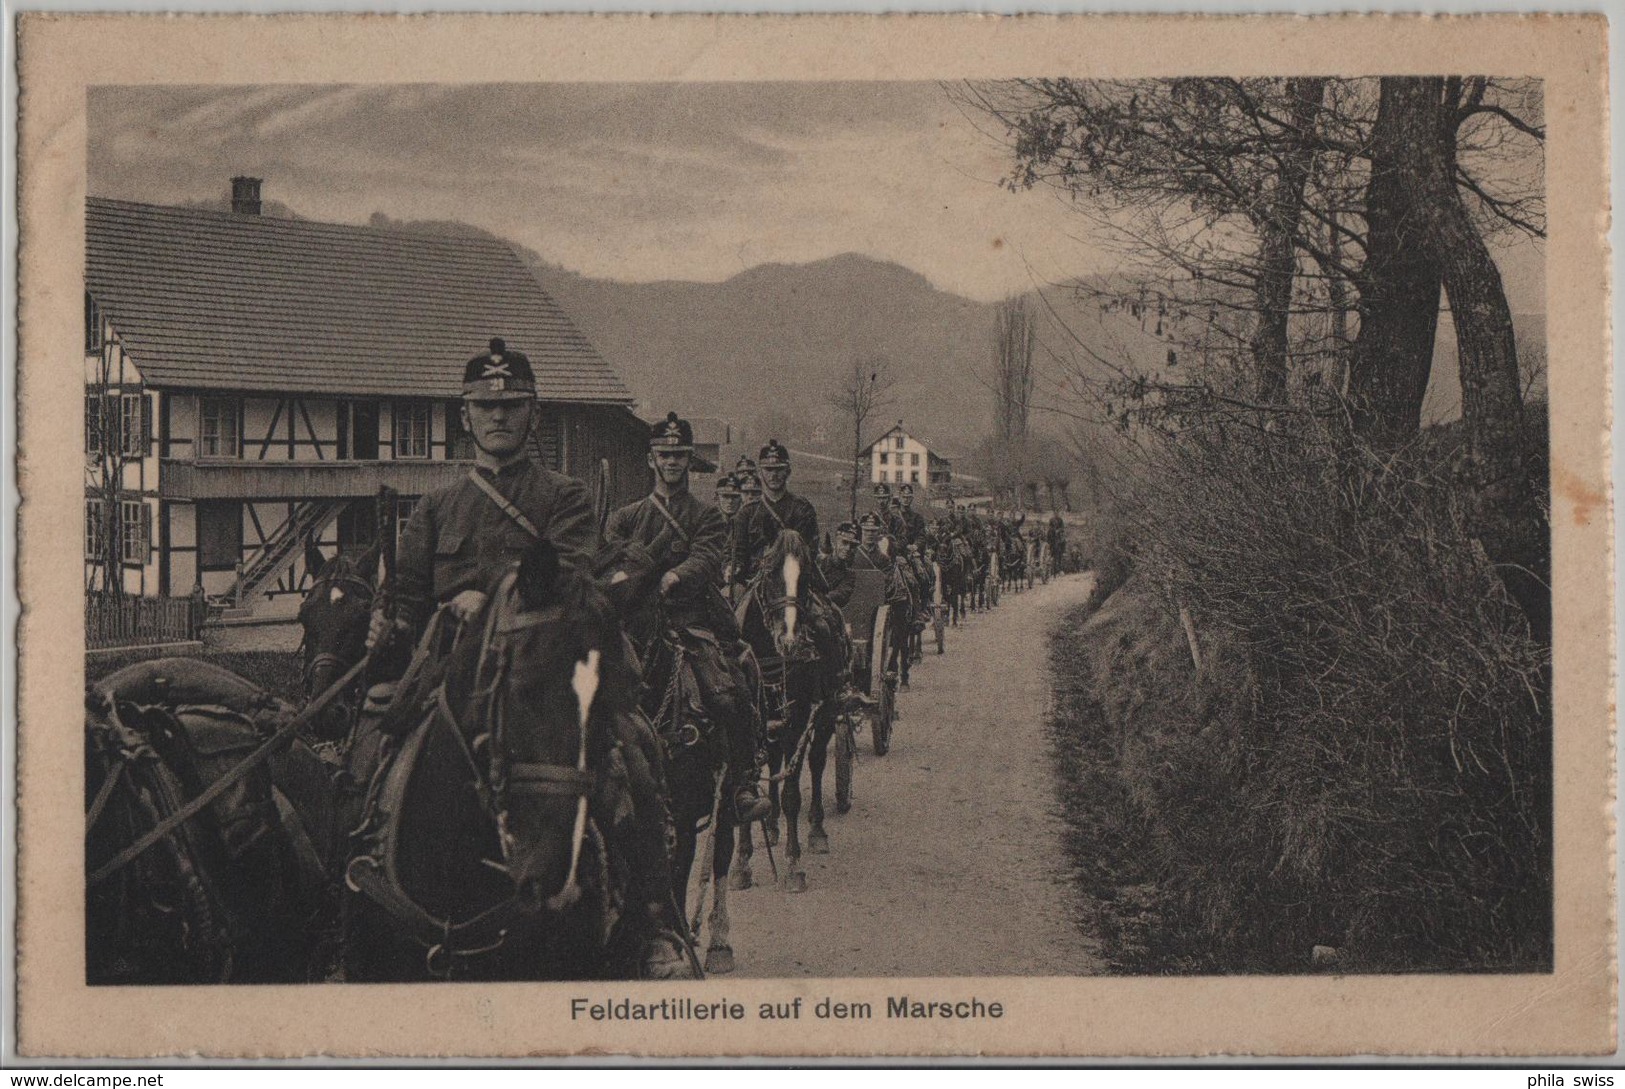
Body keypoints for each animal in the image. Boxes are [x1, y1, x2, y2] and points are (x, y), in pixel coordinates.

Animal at [731, 529, 845, 897]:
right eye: (769, 575)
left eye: (806, 577)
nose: (791, 640)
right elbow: (746, 790)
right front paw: (742, 863)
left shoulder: (797, 721)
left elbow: (793, 791)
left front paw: (794, 864)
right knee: (774, 760)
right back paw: (770, 823)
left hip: (824, 715)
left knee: (816, 761)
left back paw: (816, 830)